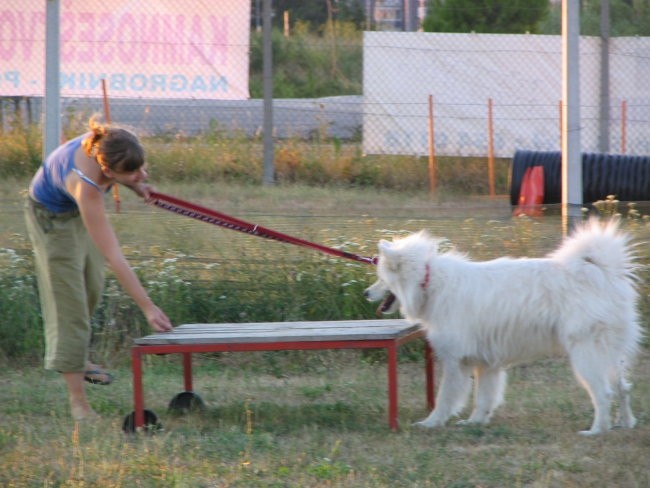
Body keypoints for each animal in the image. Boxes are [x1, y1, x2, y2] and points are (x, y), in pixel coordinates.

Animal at [362, 219, 640, 436]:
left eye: (381, 279)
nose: (365, 293)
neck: (428, 281)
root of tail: (599, 270)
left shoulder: (455, 361)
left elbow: (445, 398)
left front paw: (431, 423)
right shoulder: (486, 362)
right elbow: (484, 398)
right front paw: (475, 422)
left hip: (585, 355)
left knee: (604, 393)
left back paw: (596, 430)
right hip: (609, 354)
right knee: (623, 388)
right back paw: (625, 423)